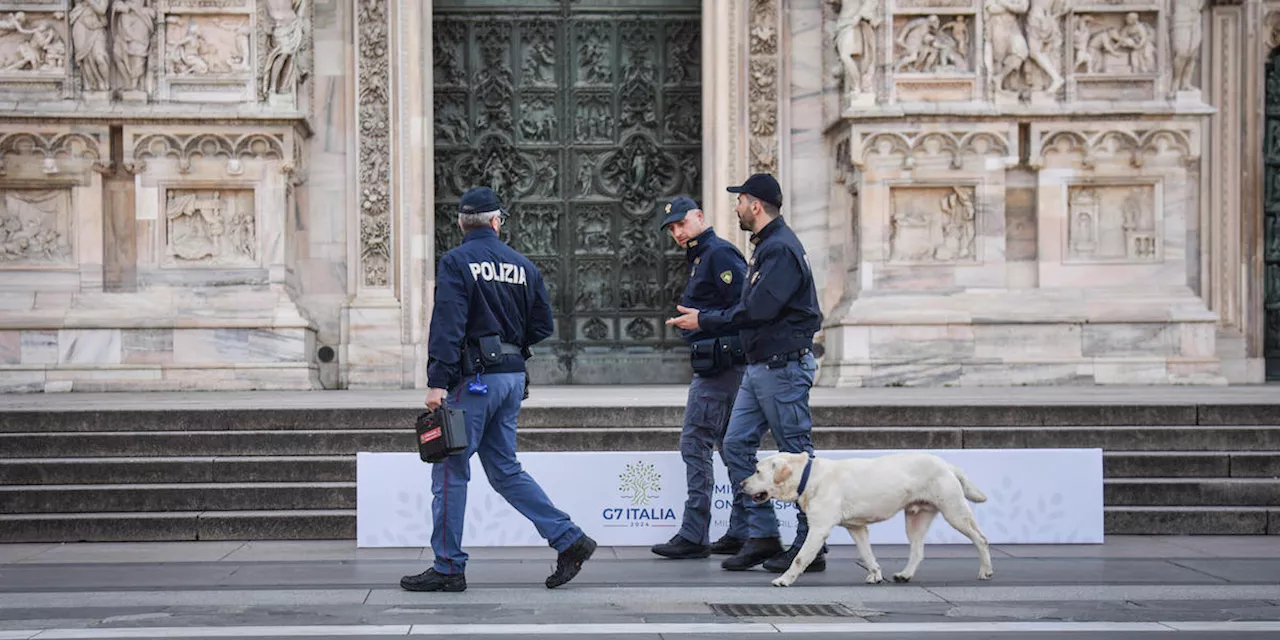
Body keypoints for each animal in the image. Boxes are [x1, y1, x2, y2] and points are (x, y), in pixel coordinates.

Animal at [742, 450, 998, 586]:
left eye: (757, 471)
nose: (742, 484)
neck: (808, 476)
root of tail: (948, 465)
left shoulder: (819, 529)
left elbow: (799, 558)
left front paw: (785, 579)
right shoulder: (857, 528)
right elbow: (867, 554)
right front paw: (875, 574)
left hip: (954, 512)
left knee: (981, 538)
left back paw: (986, 571)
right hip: (915, 518)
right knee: (917, 550)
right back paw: (905, 575)